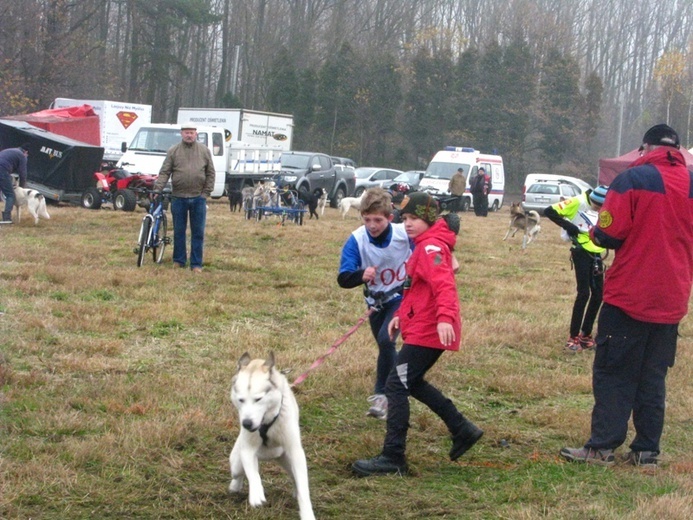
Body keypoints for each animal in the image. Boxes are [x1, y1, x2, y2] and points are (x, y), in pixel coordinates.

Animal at [228, 354, 314, 520]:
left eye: (258, 399)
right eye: (241, 400)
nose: (247, 423)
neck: (266, 420)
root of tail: (270, 455)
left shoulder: (295, 452)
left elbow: (303, 487)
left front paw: (307, 513)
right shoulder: (247, 450)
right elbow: (253, 474)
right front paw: (256, 493)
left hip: (286, 460)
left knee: (294, 476)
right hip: (236, 462)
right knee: (238, 473)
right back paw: (235, 486)